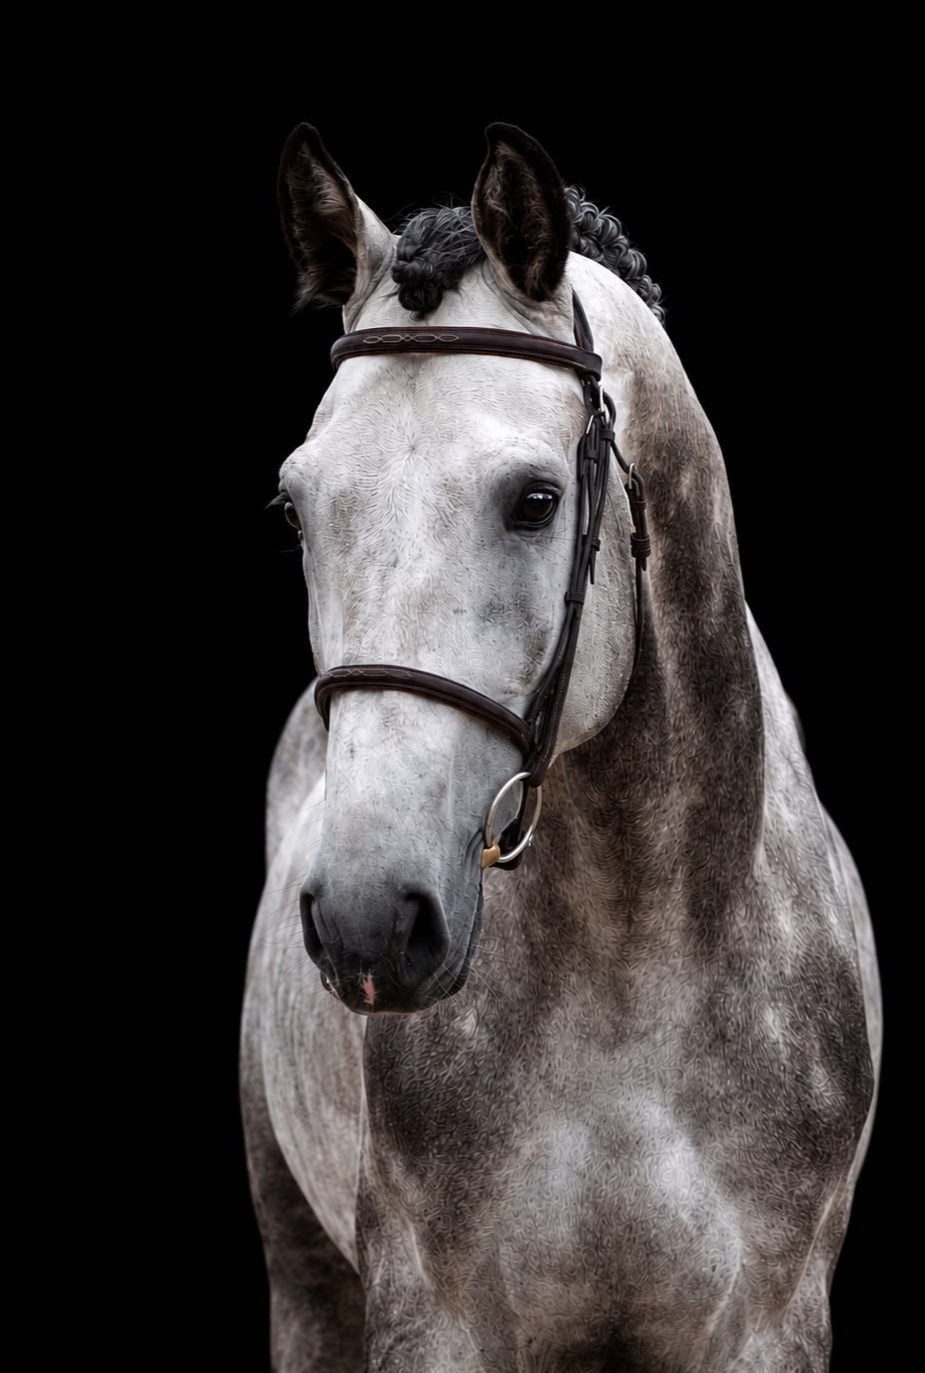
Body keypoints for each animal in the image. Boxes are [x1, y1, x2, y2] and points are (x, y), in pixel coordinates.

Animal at [240, 122, 881, 1371]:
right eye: (296, 509)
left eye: (535, 500)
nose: (369, 916)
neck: (632, 968)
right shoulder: (433, 1319)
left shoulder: (767, 1323)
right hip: (301, 1271)